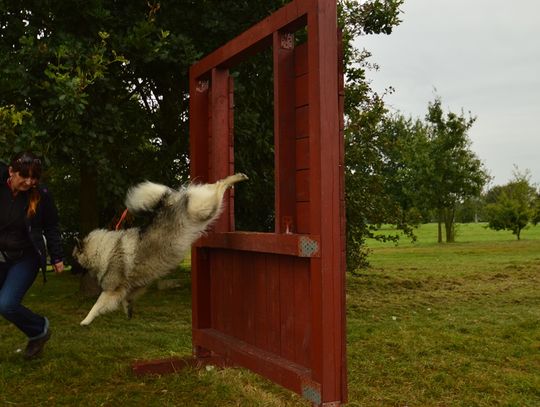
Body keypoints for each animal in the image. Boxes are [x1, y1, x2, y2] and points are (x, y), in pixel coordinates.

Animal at [72, 174, 249, 326]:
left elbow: (97, 305)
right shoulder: (135, 286)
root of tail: (168, 204)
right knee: (214, 186)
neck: (102, 251)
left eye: (74, 258)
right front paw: (128, 311)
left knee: (219, 185)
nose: (70, 268)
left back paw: (236, 177)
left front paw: (85, 321)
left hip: (203, 209)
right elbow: (126, 299)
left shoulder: (111, 290)